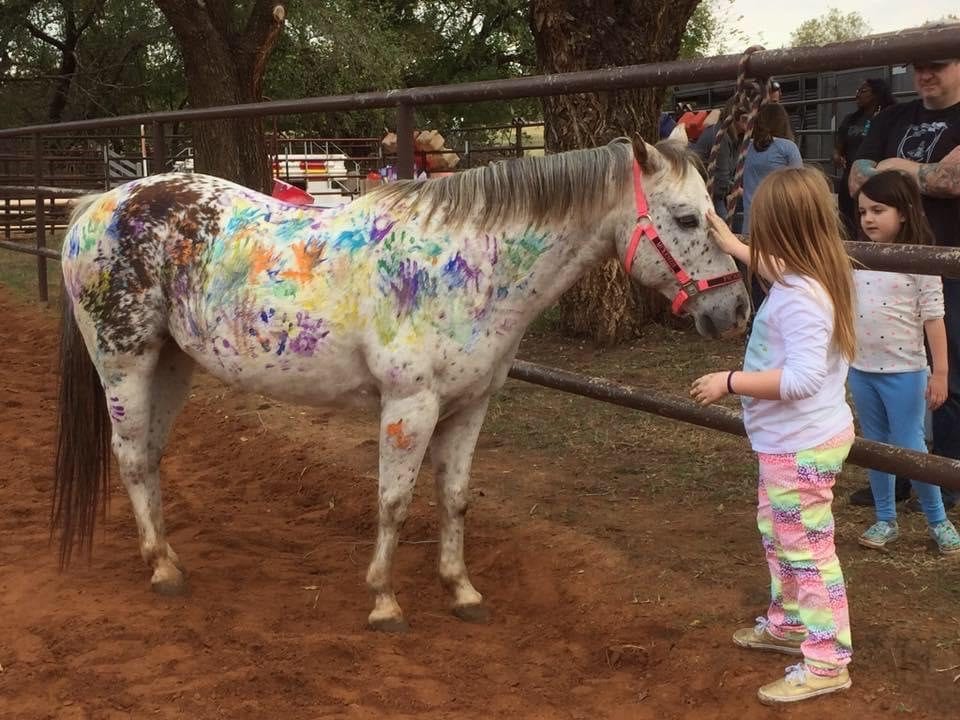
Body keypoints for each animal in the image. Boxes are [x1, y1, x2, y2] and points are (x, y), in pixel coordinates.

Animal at [54, 132, 750, 632]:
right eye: (688, 219)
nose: (735, 310)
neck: (469, 265)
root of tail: (97, 206)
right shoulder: (409, 406)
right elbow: (393, 501)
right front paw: (385, 602)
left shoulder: (470, 407)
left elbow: (454, 498)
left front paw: (462, 591)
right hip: (125, 364)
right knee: (130, 458)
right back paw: (162, 571)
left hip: (172, 365)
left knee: (148, 454)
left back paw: (169, 558)